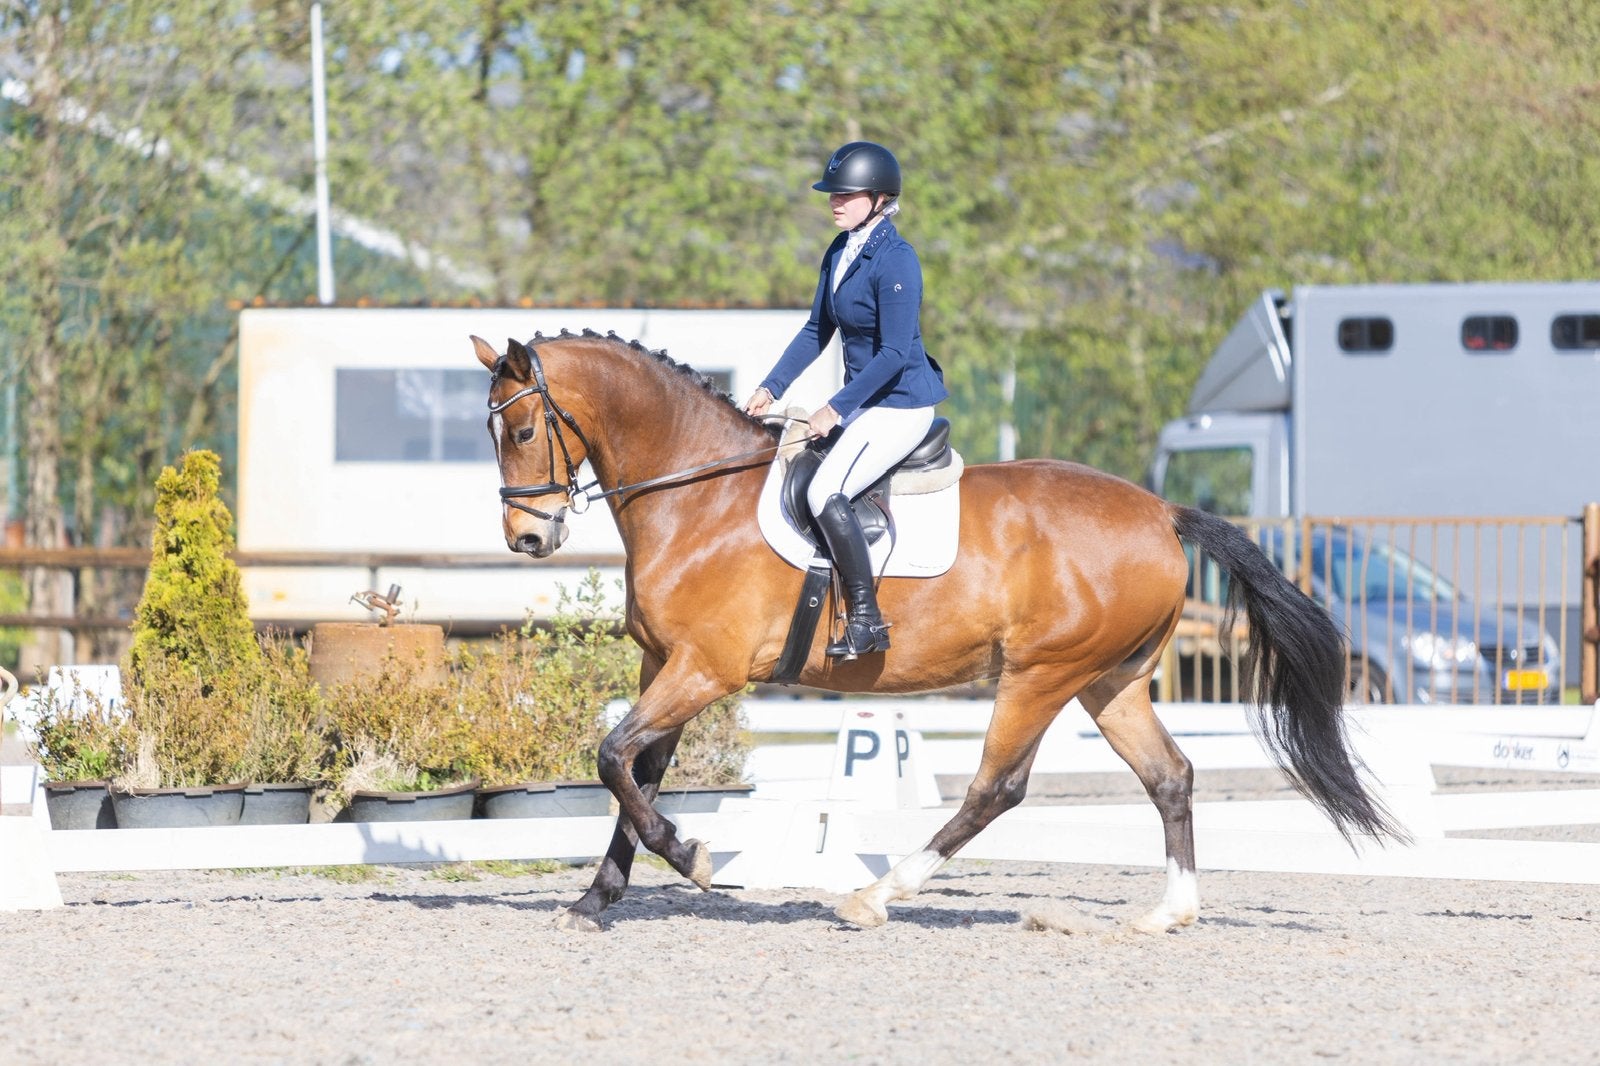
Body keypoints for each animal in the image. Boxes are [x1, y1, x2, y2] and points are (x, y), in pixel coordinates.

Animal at [472, 330, 1404, 933]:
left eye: (520, 429)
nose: (528, 539)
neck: (697, 496)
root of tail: (1161, 512)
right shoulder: (662, 663)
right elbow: (634, 772)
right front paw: (595, 900)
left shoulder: (706, 668)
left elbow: (614, 759)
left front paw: (693, 858)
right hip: (1111, 682)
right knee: (1169, 775)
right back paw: (1169, 913)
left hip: (1040, 674)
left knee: (997, 788)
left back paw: (875, 897)